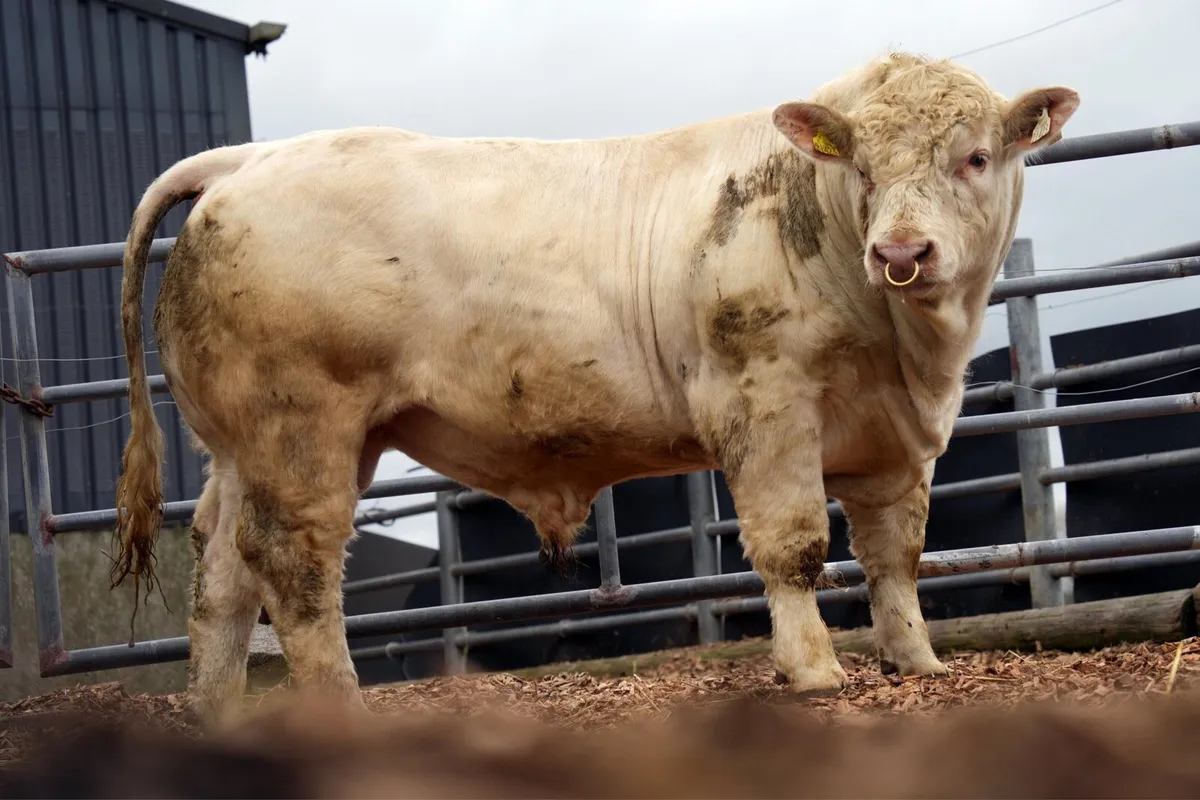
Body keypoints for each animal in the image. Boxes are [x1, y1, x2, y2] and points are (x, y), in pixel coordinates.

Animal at [110, 51, 1079, 724]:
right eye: (862, 168)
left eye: (976, 158)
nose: (902, 253)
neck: (908, 353)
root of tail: (246, 161)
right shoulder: (763, 404)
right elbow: (795, 547)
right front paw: (812, 670)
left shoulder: (897, 442)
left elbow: (895, 556)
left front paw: (916, 662)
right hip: (302, 429)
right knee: (295, 564)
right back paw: (337, 704)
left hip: (244, 448)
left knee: (222, 570)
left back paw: (220, 709)